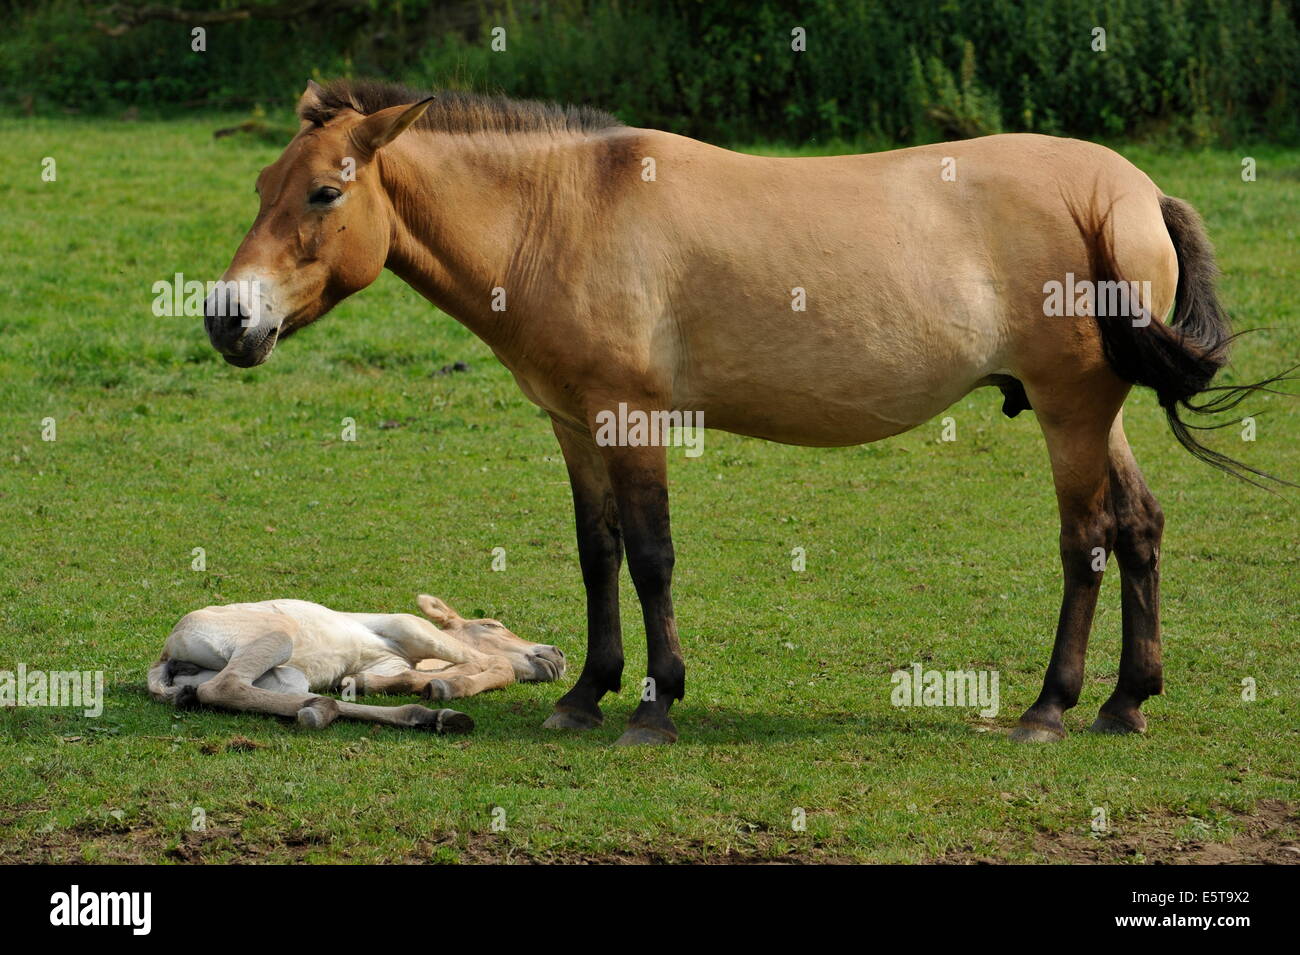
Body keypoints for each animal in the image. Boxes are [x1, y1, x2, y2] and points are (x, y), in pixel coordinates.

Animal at [147, 595, 566, 731]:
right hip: (278, 636)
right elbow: (498, 665)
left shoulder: (387, 666)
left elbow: (395, 677)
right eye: (492, 625)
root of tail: (165, 656)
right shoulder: (408, 625)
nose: (557, 655)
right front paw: (449, 686)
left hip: (286, 677)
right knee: (222, 686)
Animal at [202, 78, 1284, 745]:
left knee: (1087, 540)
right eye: (260, 185)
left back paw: (1050, 707)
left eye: (325, 192)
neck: (563, 209)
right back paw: (1125, 701)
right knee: (1139, 526)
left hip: (1070, 413)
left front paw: (654, 705)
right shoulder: (574, 424)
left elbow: (650, 557)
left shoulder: (631, 419)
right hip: (1100, 415)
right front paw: (586, 694)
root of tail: (1134, 193)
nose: (226, 317)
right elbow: (598, 554)